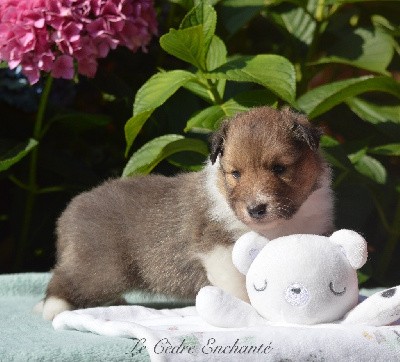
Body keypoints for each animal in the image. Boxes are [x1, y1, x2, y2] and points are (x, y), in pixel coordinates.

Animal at [39, 105, 334, 320]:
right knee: (66, 279)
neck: (275, 227)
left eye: (280, 168)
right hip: (103, 269)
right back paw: (52, 308)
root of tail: (70, 210)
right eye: (235, 173)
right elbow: (239, 287)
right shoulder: (219, 250)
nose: (256, 209)